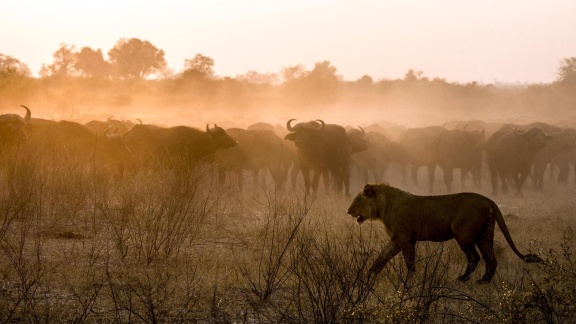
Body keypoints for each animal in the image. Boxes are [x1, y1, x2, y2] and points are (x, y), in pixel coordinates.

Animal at [348, 184, 544, 282]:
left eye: (356, 200)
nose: (348, 211)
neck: (383, 207)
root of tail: (488, 200)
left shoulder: (405, 238)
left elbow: (409, 261)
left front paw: (409, 280)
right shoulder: (397, 239)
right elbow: (382, 257)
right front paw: (368, 276)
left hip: (463, 235)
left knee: (475, 257)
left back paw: (463, 279)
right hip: (485, 235)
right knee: (491, 259)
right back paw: (484, 281)